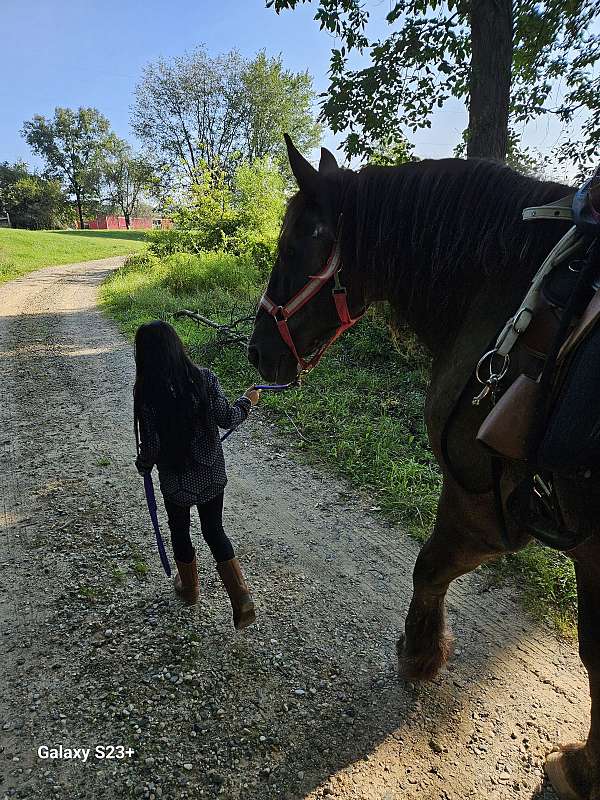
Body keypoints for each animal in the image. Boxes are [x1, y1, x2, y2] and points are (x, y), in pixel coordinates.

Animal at [248, 134, 600, 796]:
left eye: (292, 244)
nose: (258, 352)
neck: (512, 294)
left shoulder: (484, 502)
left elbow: (430, 568)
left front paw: (419, 654)